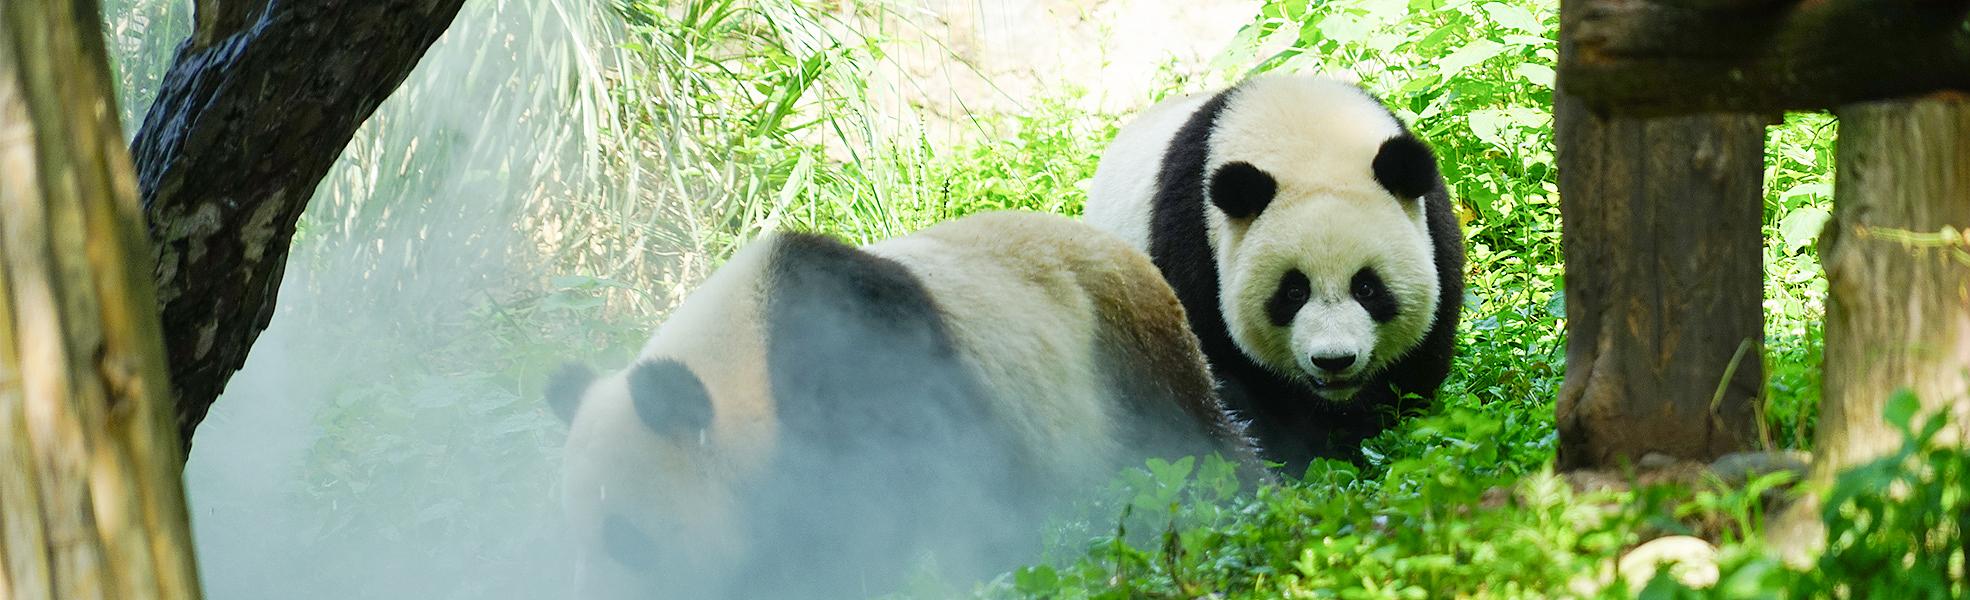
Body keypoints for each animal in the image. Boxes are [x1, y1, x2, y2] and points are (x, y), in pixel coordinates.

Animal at [1084, 75, 1465, 475]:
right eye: (1293, 292)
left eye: (1366, 287)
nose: (1334, 360)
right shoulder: (1196, 250)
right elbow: (1235, 379)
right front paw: (1308, 456)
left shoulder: (1433, 228)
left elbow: (1420, 355)